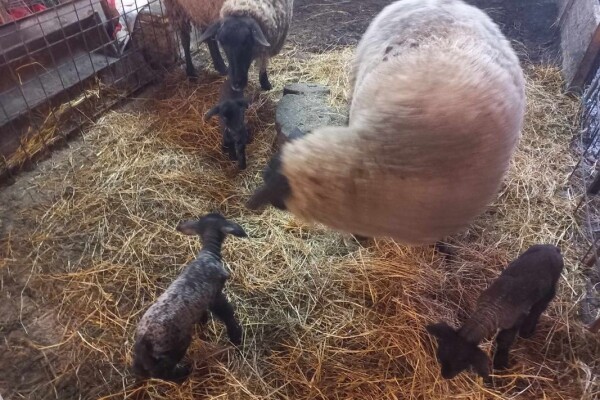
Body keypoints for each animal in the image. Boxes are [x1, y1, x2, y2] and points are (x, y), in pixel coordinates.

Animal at [132, 213, 246, 382]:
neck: (208, 253)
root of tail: (144, 341)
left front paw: (202, 322)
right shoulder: (216, 296)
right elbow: (227, 314)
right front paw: (236, 337)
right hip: (176, 346)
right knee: (163, 371)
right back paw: (183, 374)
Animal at [426, 244, 564, 380]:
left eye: (464, 362)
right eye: (440, 355)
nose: (445, 376)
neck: (491, 308)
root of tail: (553, 248)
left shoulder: (515, 321)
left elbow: (504, 340)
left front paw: (500, 362)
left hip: (552, 284)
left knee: (541, 305)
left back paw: (527, 330)